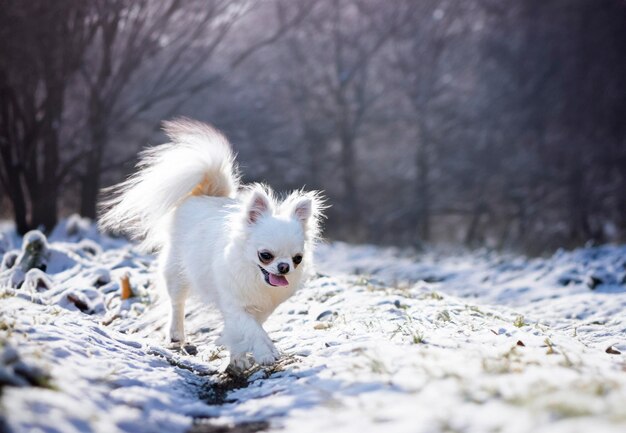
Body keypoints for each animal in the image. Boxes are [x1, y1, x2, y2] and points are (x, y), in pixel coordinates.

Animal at [100, 118, 324, 368]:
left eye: (297, 259)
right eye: (265, 255)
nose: (283, 267)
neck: (255, 278)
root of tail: (205, 193)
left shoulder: (258, 308)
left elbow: (245, 329)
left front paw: (239, 358)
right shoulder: (234, 304)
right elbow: (252, 330)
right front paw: (265, 352)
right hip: (177, 272)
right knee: (177, 303)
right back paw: (176, 333)